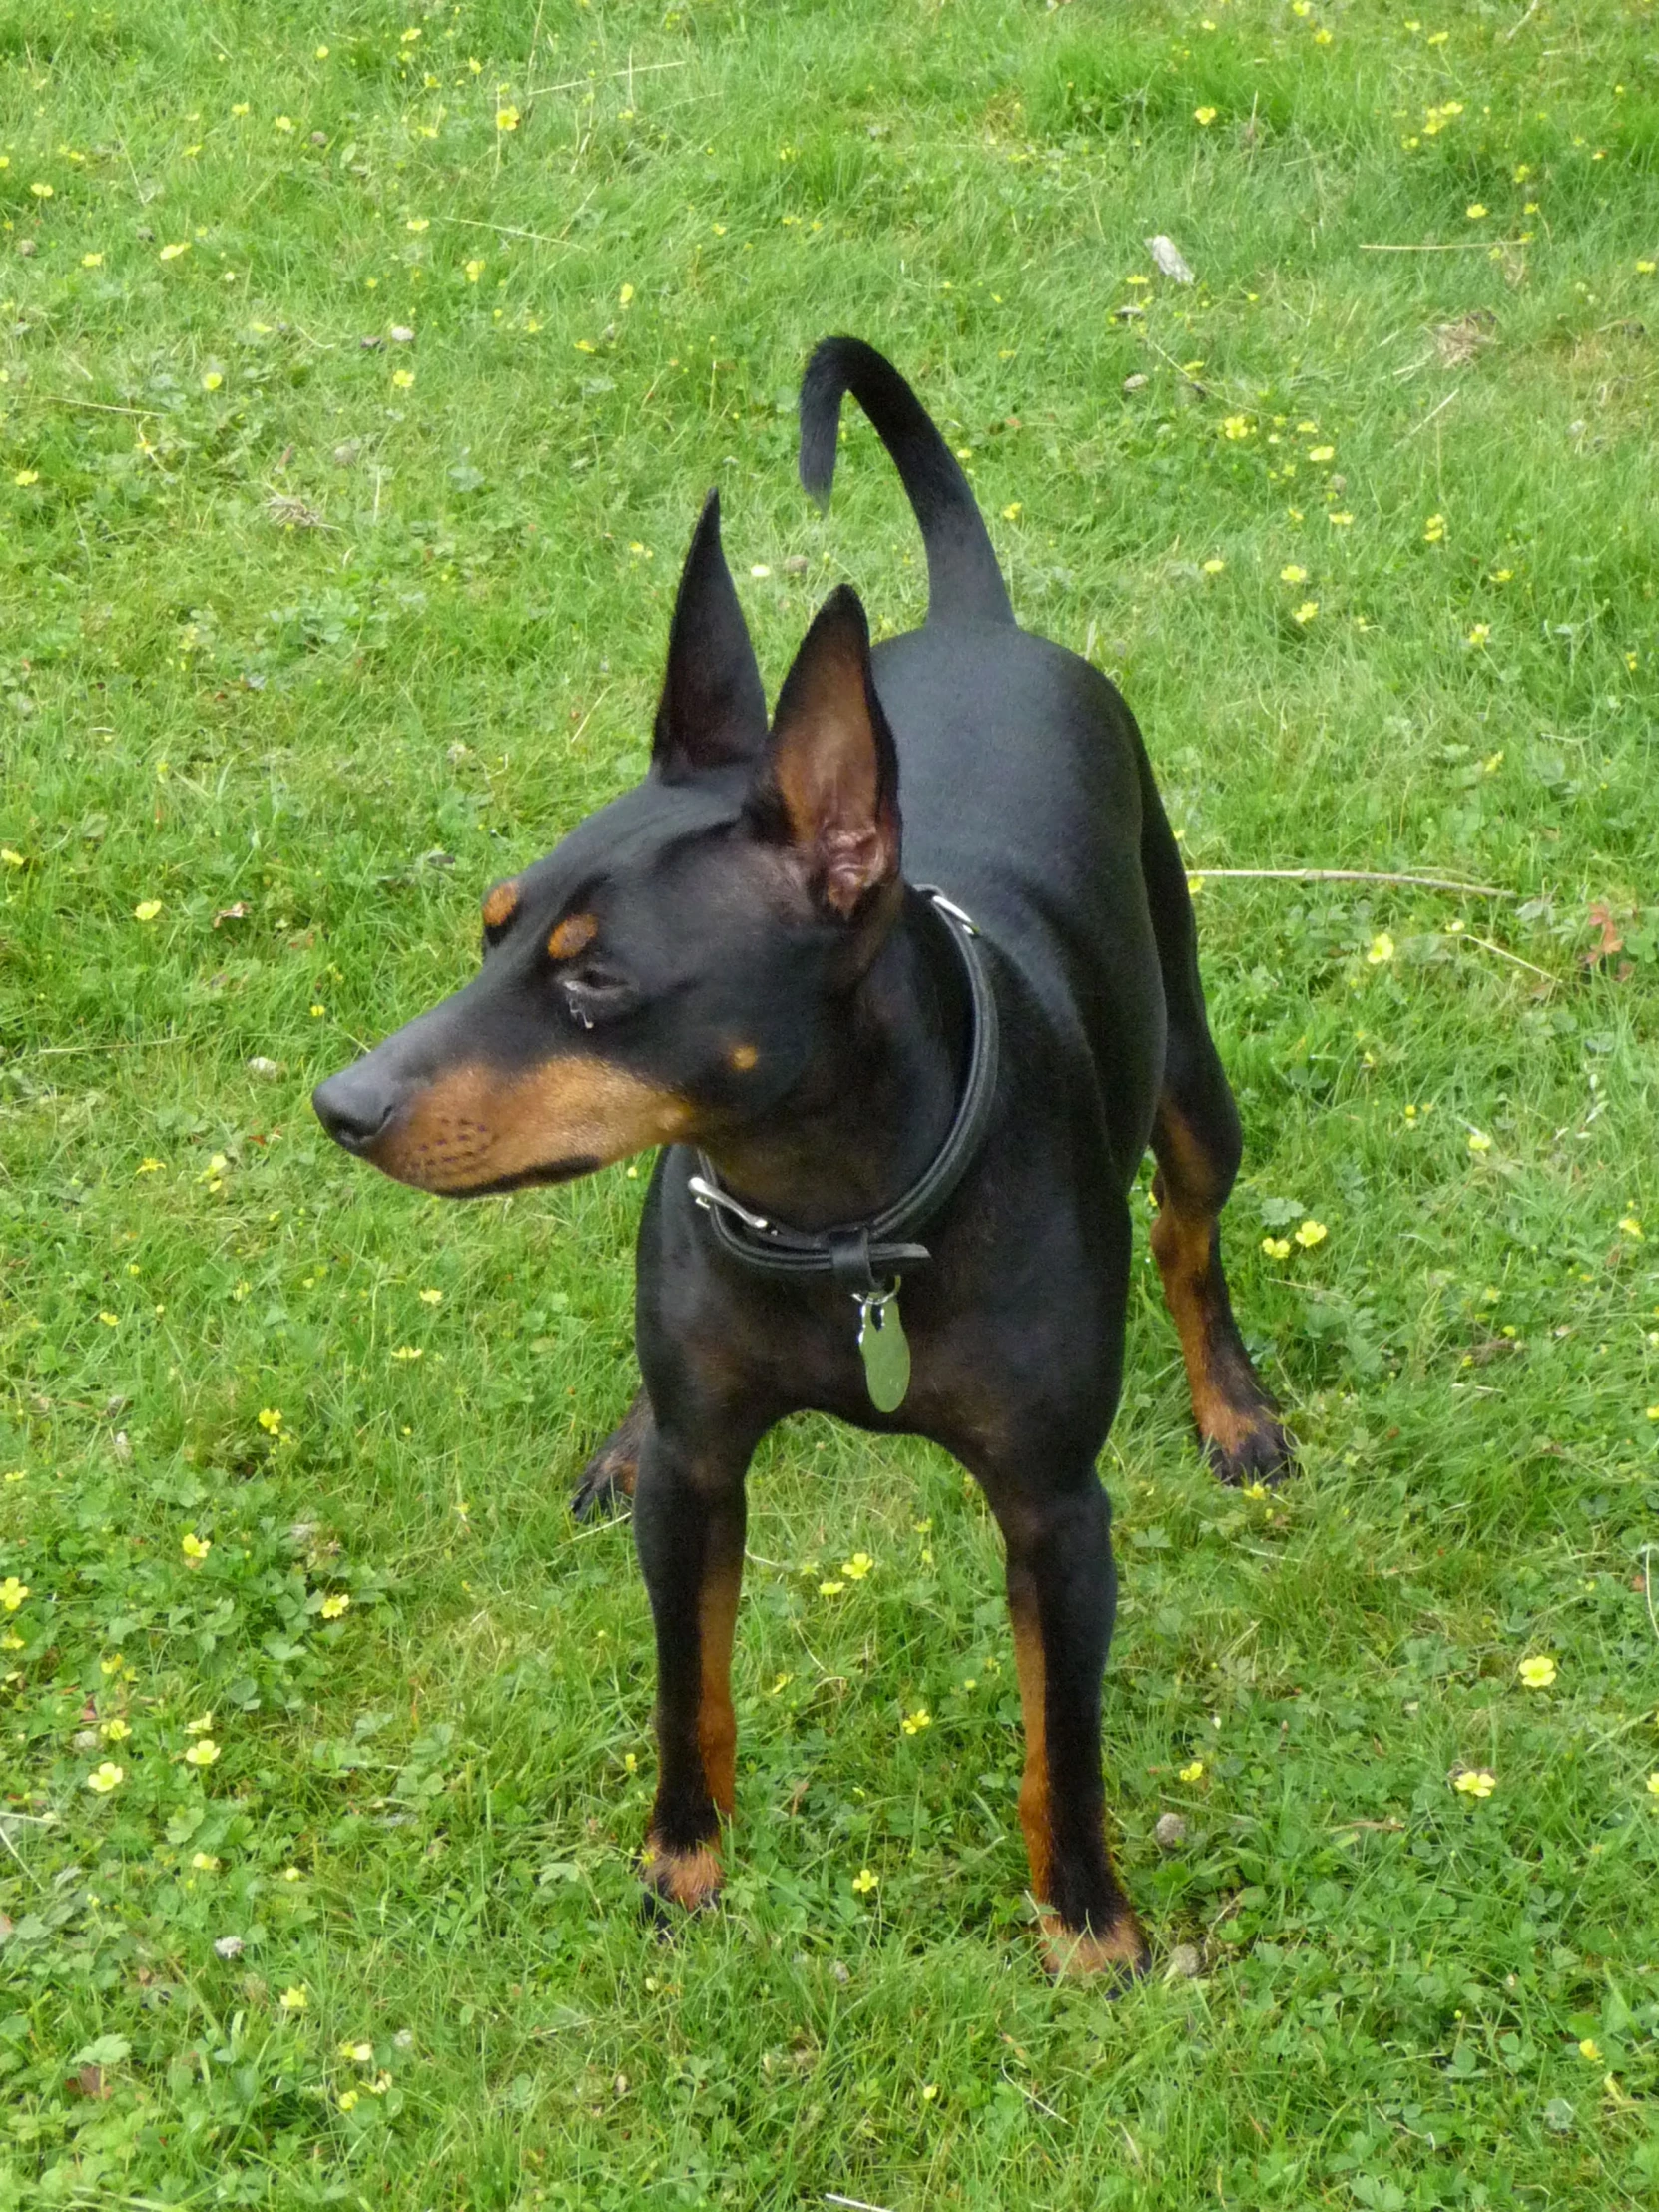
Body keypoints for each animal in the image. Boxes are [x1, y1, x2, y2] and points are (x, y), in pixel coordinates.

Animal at [313, 335, 1301, 1981]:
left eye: (597, 983)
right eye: (493, 928)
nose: (342, 1103)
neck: (835, 1225)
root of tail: (975, 622)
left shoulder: (1056, 1516)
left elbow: (1063, 1739)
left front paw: (1087, 1926)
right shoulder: (705, 1480)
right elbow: (686, 1689)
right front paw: (682, 1867)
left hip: (1189, 1074)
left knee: (1189, 1233)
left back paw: (1232, 1407)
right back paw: (618, 1437)